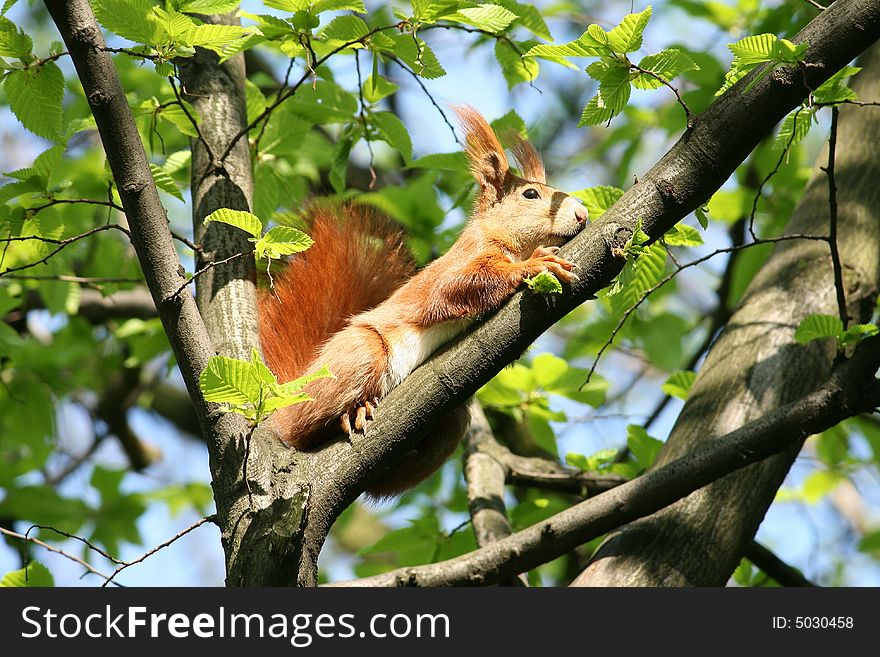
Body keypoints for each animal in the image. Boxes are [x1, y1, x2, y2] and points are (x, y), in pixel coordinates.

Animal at [262, 107, 592, 494]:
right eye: (530, 194)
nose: (583, 215)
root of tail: (284, 400)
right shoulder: (456, 267)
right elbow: (457, 287)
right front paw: (535, 264)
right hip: (357, 354)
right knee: (305, 426)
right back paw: (350, 412)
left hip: (452, 422)